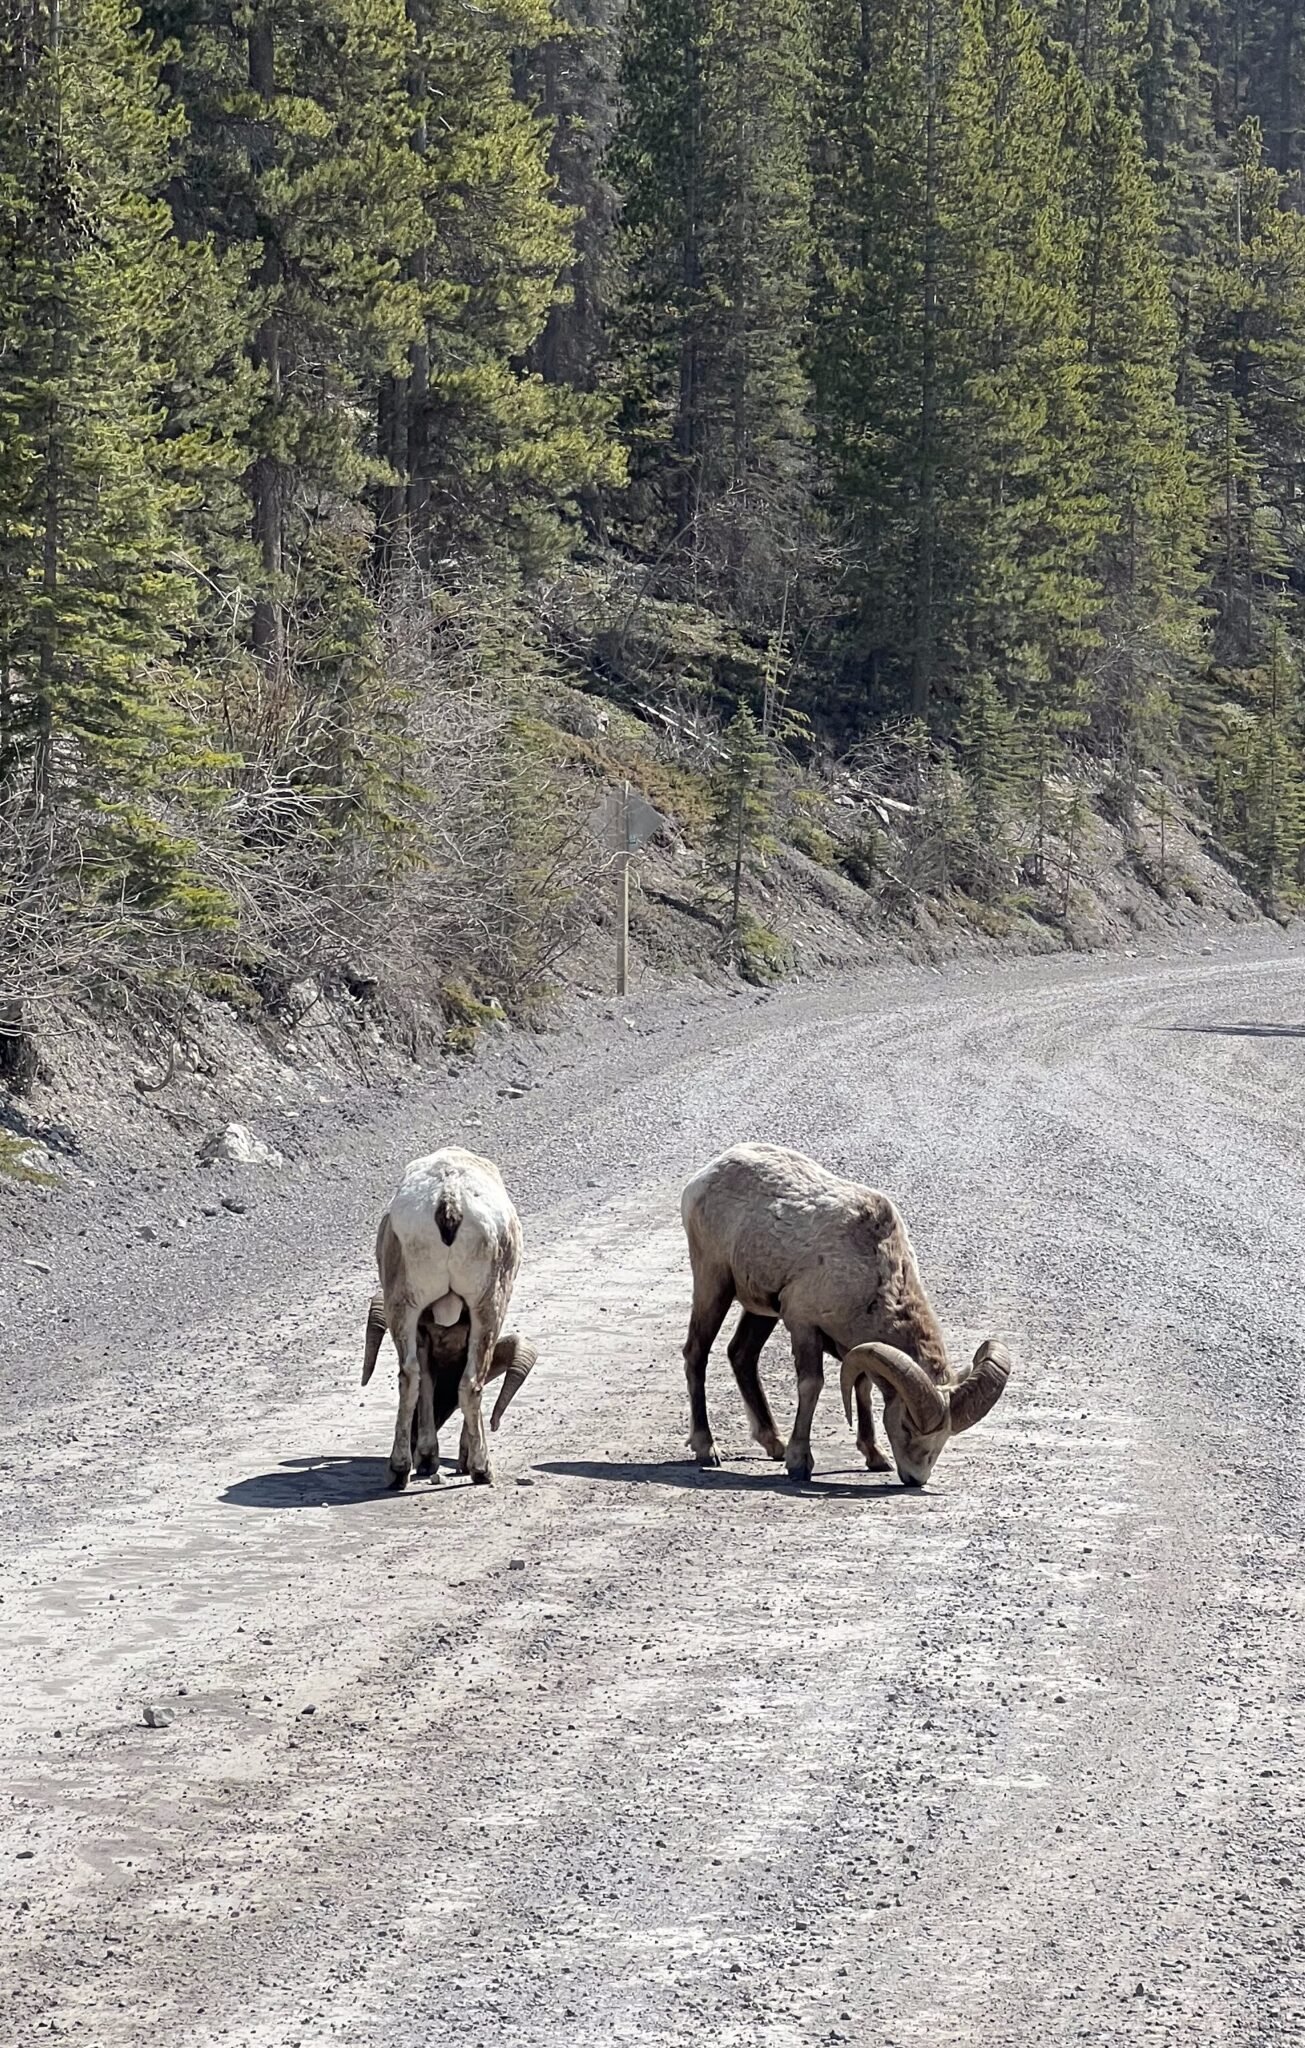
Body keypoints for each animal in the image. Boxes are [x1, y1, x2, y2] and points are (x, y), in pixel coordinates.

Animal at [369, 1147, 523, 1487]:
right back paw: (482, 1469)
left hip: (403, 1307)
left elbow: (426, 1379)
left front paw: (427, 1459)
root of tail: (448, 1198)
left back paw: (399, 1470)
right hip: (487, 1307)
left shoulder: (424, 1327)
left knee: (409, 1377)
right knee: (471, 1384)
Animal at [679, 1141, 1012, 1487]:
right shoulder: (803, 1323)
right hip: (714, 1285)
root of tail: (706, 1175)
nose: (916, 1477)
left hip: (761, 1309)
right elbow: (812, 1384)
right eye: (906, 1426)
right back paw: (707, 1448)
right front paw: (800, 1463)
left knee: (742, 1354)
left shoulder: (853, 1345)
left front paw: (875, 1456)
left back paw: (774, 1443)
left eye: (945, 1437)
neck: (872, 1272)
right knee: (697, 1354)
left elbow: (862, 1387)